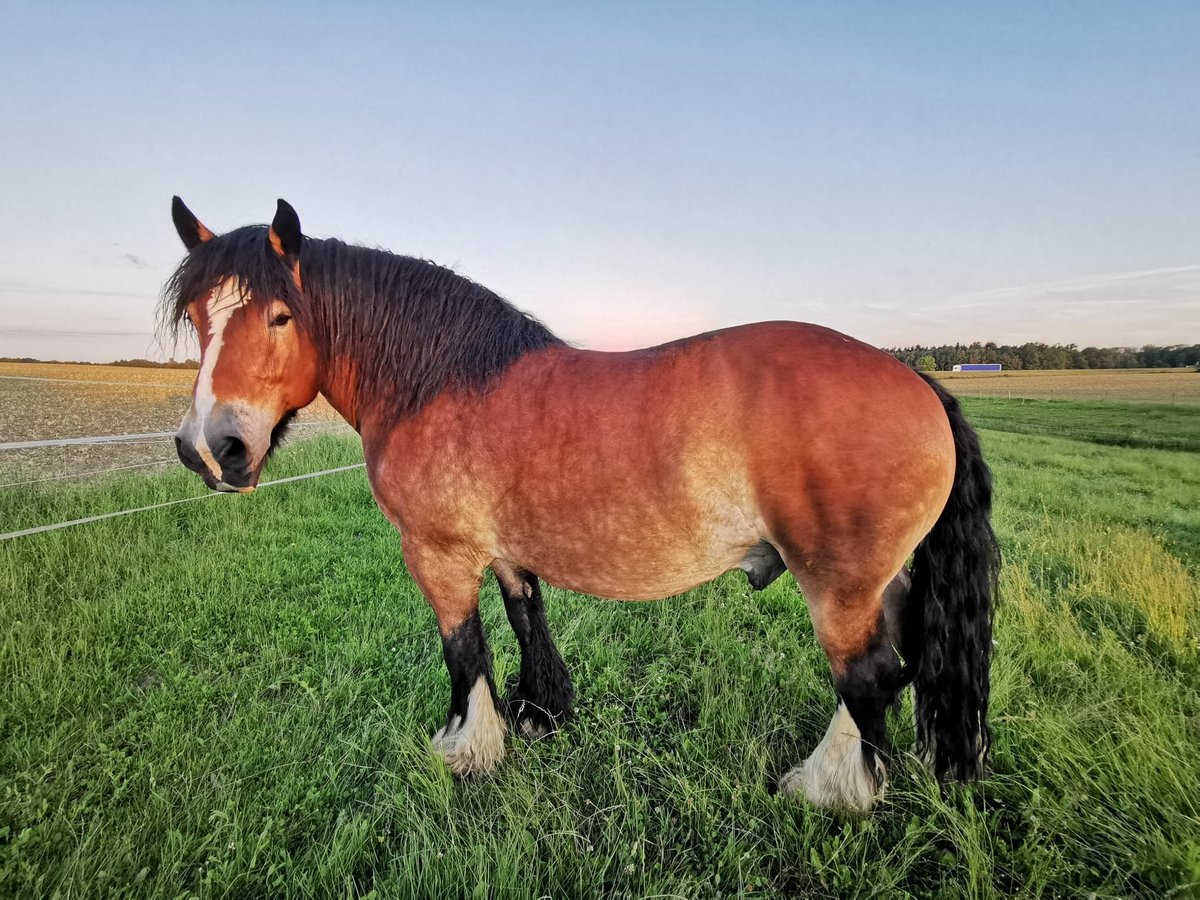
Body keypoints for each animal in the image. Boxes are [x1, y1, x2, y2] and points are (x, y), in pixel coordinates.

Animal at [164, 199, 998, 816]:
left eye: (280, 316)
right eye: (200, 318)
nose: (212, 448)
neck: (437, 378)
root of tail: (918, 382)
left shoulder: (438, 555)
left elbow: (465, 650)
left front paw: (466, 752)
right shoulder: (505, 551)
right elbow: (525, 620)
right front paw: (541, 714)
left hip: (839, 587)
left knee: (869, 678)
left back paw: (827, 788)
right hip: (885, 582)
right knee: (904, 664)